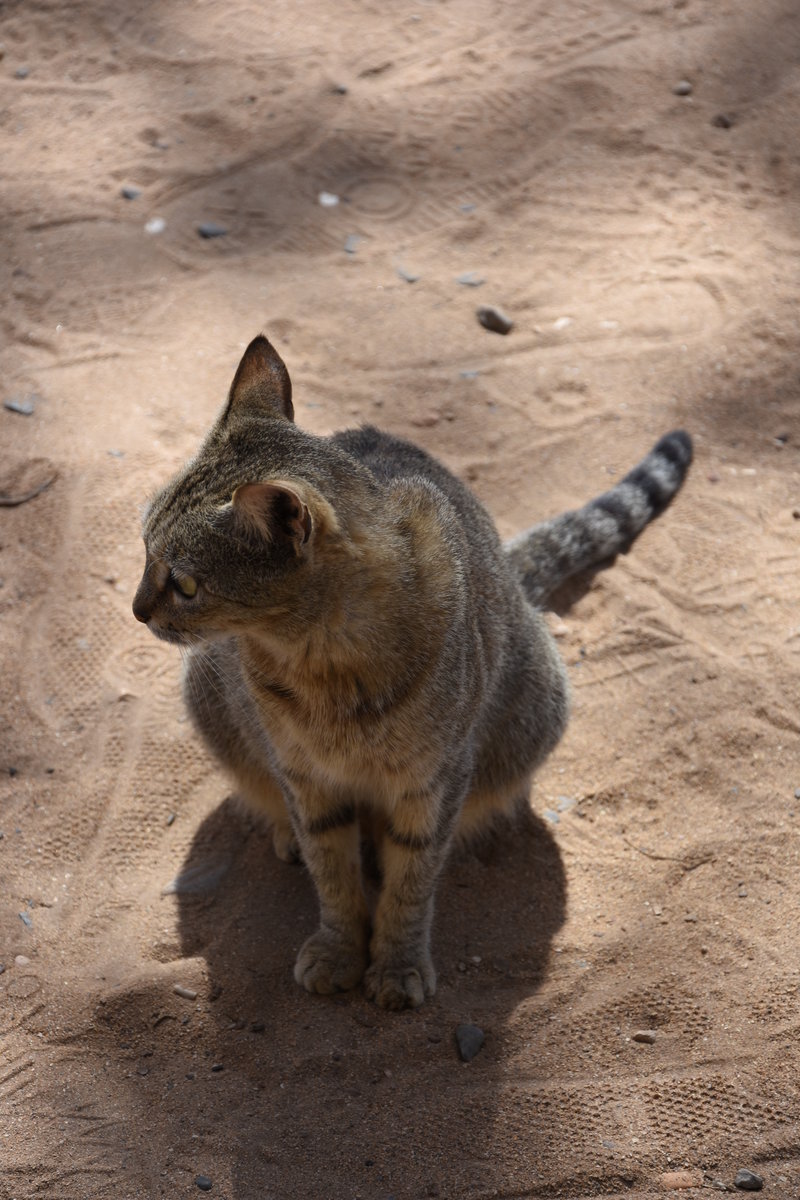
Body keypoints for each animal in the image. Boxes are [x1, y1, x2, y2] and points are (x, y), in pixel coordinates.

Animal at [133, 336, 695, 1012]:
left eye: (186, 585)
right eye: (143, 548)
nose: (136, 609)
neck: (322, 662)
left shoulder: (436, 779)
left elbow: (410, 884)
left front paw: (397, 965)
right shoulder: (305, 776)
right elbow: (333, 874)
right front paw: (338, 951)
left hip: (533, 712)